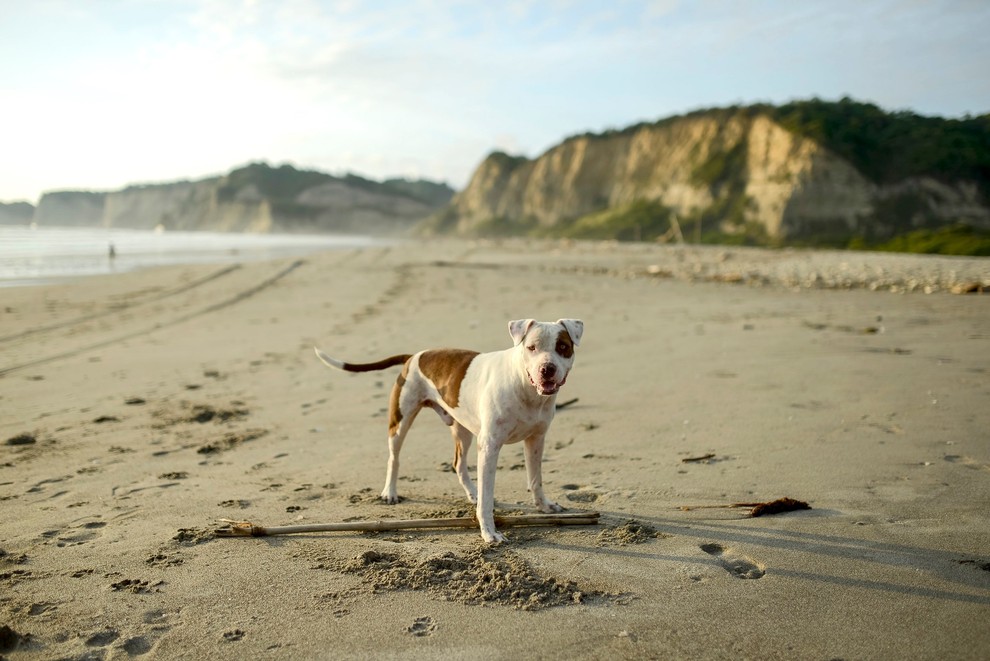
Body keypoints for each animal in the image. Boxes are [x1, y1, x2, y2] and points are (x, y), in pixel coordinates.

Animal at [316, 318, 580, 540]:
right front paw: (489, 532)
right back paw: (390, 492)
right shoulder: (490, 447)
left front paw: (544, 506)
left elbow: (536, 479)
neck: (524, 386)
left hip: (463, 429)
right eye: (531, 348)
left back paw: (472, 493)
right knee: (394, 458)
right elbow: (488, 498)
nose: (547, 368)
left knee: (459, 464)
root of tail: (414, 356)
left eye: (563, 347)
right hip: (400, 422)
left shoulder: (536, 439)